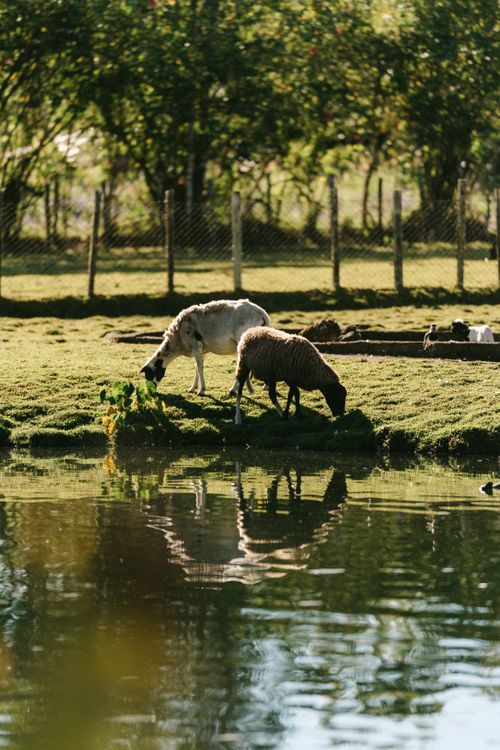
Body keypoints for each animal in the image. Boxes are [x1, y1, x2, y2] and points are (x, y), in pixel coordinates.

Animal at [140, 299, 270, 395]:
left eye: (149, 375)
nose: (151, 392)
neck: (177, 340)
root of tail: (261, 313)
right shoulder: (202, 350)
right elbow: (197, 368)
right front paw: (193, 388)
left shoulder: (196, 346)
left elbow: (200, 367)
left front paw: (201, 390)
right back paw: (265, 386)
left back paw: (233, 390)